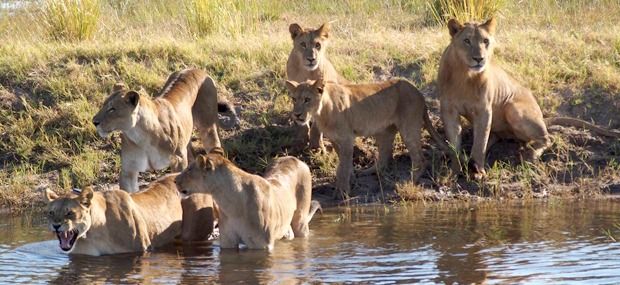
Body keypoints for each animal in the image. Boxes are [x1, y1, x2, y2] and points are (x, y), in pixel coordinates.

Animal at [174, 148, 320, 250]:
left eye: (189, 169)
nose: (175, 180)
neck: (229, 202)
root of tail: (295, 158)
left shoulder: (261, 244)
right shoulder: (227, 242)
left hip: (300, 222)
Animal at [438, 17, 616, 178]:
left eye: (485, 41)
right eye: (467, 41)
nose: (479, 59)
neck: (464, 75)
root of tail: (542, 117)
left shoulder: (484, 110)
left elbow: (480, 143)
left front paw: (478, 172)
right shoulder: (448, 110)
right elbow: (454, 145)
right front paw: (453, 172)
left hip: (513, 108)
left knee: (547, 138)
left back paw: (530, 156)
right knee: (493, 135)